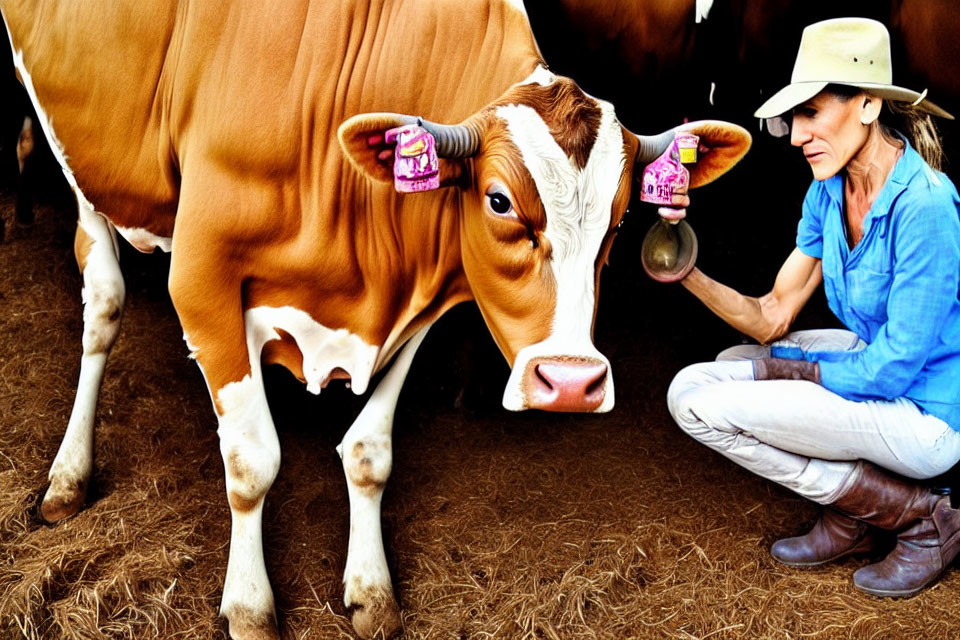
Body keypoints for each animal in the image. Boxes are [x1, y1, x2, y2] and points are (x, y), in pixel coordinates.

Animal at [0, 1, 752, 640]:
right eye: (499, 200)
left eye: (621, 221)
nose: (570, 383)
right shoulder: (202, 277)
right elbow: (251, 461)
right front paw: (249, 606)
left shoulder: (412, 300)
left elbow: (369, 454)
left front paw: (371, 591)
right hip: (80, 153)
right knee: (102, 304)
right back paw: (67, 478)